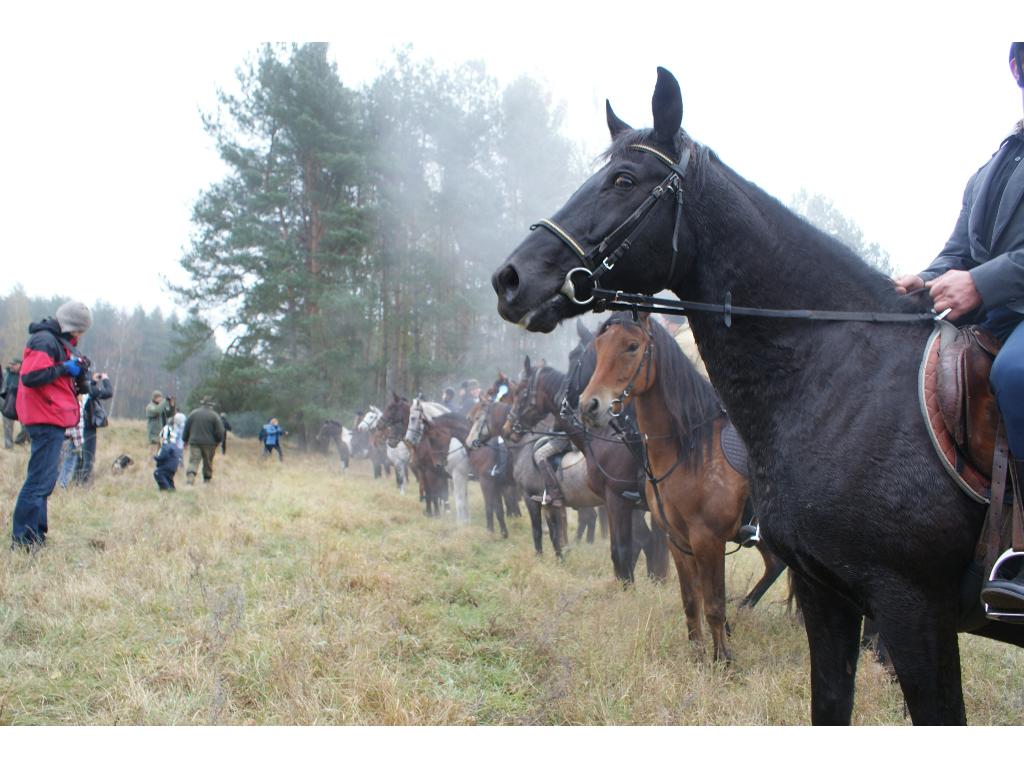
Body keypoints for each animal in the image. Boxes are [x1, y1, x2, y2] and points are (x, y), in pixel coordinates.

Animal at [581, 313, 786, 663]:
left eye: (632, 346)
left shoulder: (708, 539)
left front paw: (723, 659)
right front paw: (698, 654)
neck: (688, 450)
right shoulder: (677, 540)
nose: (589, 405)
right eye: (599, 345)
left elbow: (713, 603)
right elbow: (692, 600)